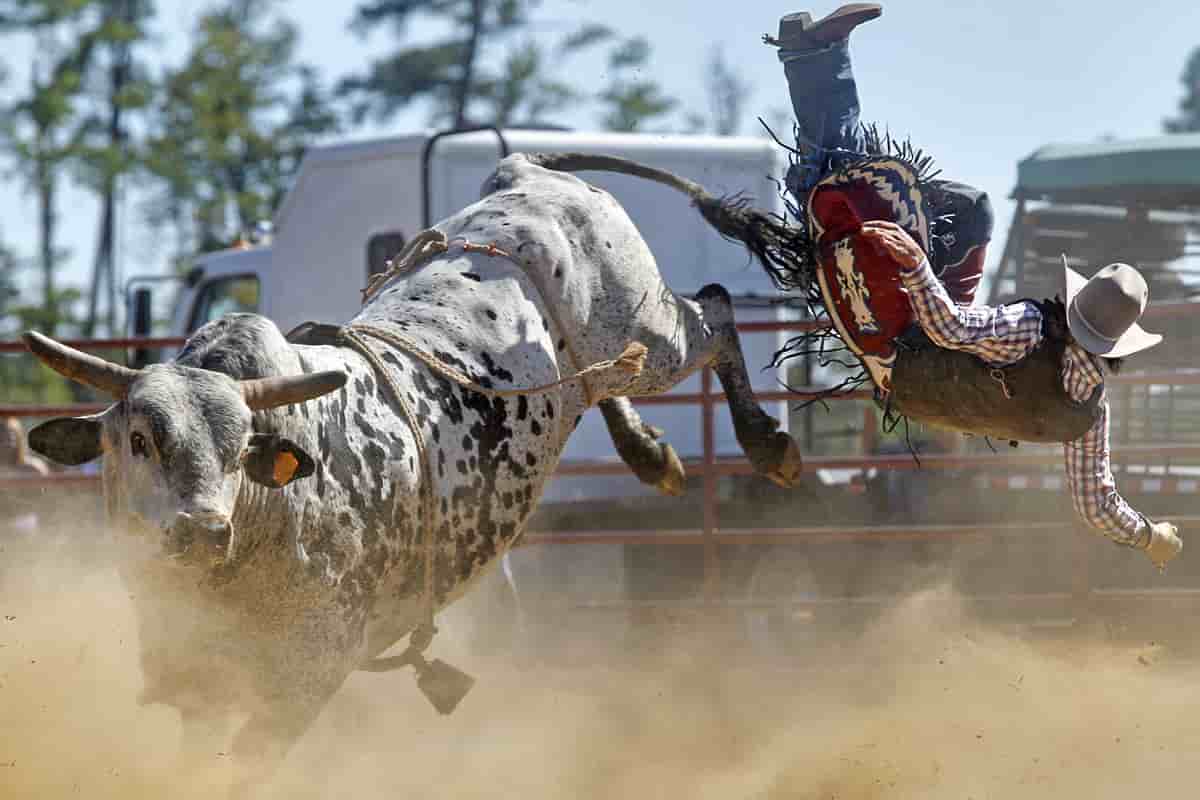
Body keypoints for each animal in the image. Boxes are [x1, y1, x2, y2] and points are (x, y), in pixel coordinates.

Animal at [23, 151, 801, 796]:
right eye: (139, 439)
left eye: (243, 446)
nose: (205, 531)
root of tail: (524, 173)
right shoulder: (192, 678)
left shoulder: (306, 676)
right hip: (616, 351)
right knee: (606, 379)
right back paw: (649, 452)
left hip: (651, 323)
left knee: (716, 311)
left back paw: (767, 443)